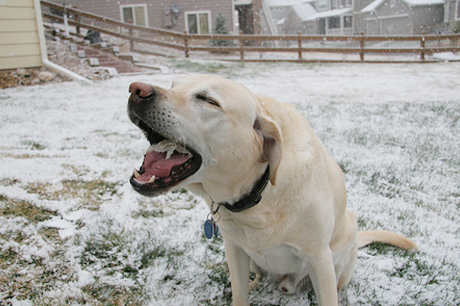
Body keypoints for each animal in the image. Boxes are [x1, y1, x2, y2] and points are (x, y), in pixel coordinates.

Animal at [127, 74, 418, 306]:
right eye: (173, 85)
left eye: (209, 100)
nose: (135, 89)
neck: (259, 195)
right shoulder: (234, 248)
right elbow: (239, 294)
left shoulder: (319, 258)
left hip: (342, 250)